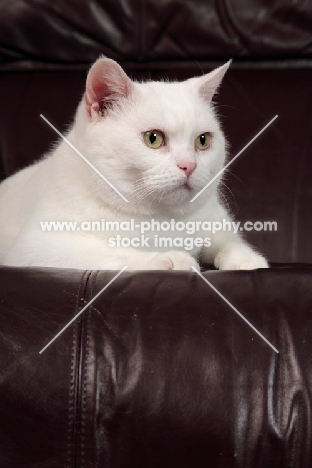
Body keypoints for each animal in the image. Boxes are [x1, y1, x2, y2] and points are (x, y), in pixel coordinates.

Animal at [0, 58, 268, 270]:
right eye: (153, 138)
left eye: (203, 141)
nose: (189, 165)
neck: (162, 218)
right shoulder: (36, 245)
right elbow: (116, 253)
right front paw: (169, 259)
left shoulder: (215, 219)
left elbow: (228, 240)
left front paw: (247, 259)